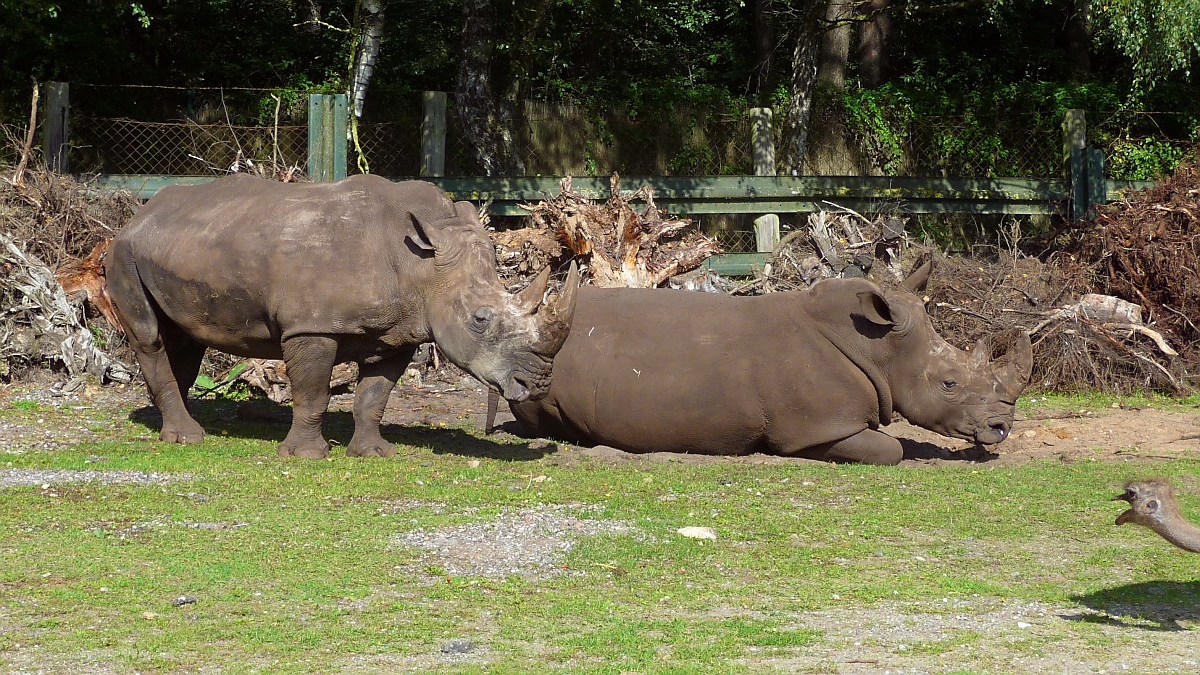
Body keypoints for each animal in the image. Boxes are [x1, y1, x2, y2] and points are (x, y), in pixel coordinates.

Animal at [108, 172, 580, 456]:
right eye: (480, 320)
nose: (538, 386)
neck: (418, 265)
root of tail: (140, 213)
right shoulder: (310, 326)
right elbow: (314, 392)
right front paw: (305, 456)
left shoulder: (399, 331)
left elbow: (375, 396)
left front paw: (374, 453)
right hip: (123, 252)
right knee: (150, 337)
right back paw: (188, 438)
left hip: (176, 248)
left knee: (184, 341)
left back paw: (180, 425)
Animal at [504, 261, 1032, 461]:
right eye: (948, 383)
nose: (1001, 428)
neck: (877, 347)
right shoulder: (819, 425)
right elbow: (892, 450)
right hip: (539, 358)